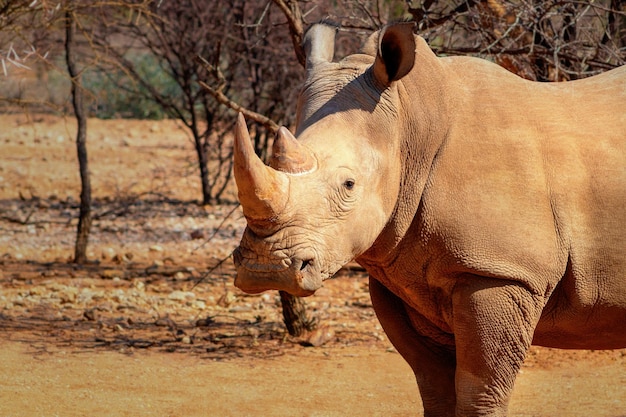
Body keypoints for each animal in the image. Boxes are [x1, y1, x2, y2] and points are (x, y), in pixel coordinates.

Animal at [230, 22, 624, 416]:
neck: (410, 129)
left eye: (348, 184)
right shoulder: (400, 273)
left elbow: (481, 392)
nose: (266, 269)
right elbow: (434, 385)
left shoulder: (502, 271)